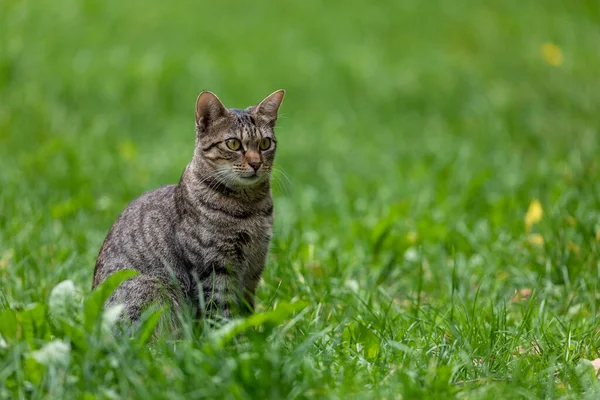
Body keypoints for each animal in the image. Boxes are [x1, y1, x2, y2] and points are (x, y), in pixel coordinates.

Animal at [92, 89, 284, 324]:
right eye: (233, 144)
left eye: (265, 143)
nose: (256, 163)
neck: (250, 207)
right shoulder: (214, 267)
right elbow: (220, 312)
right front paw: (229, 333)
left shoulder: (254, 267)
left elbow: (245, 309)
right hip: (153, 288)